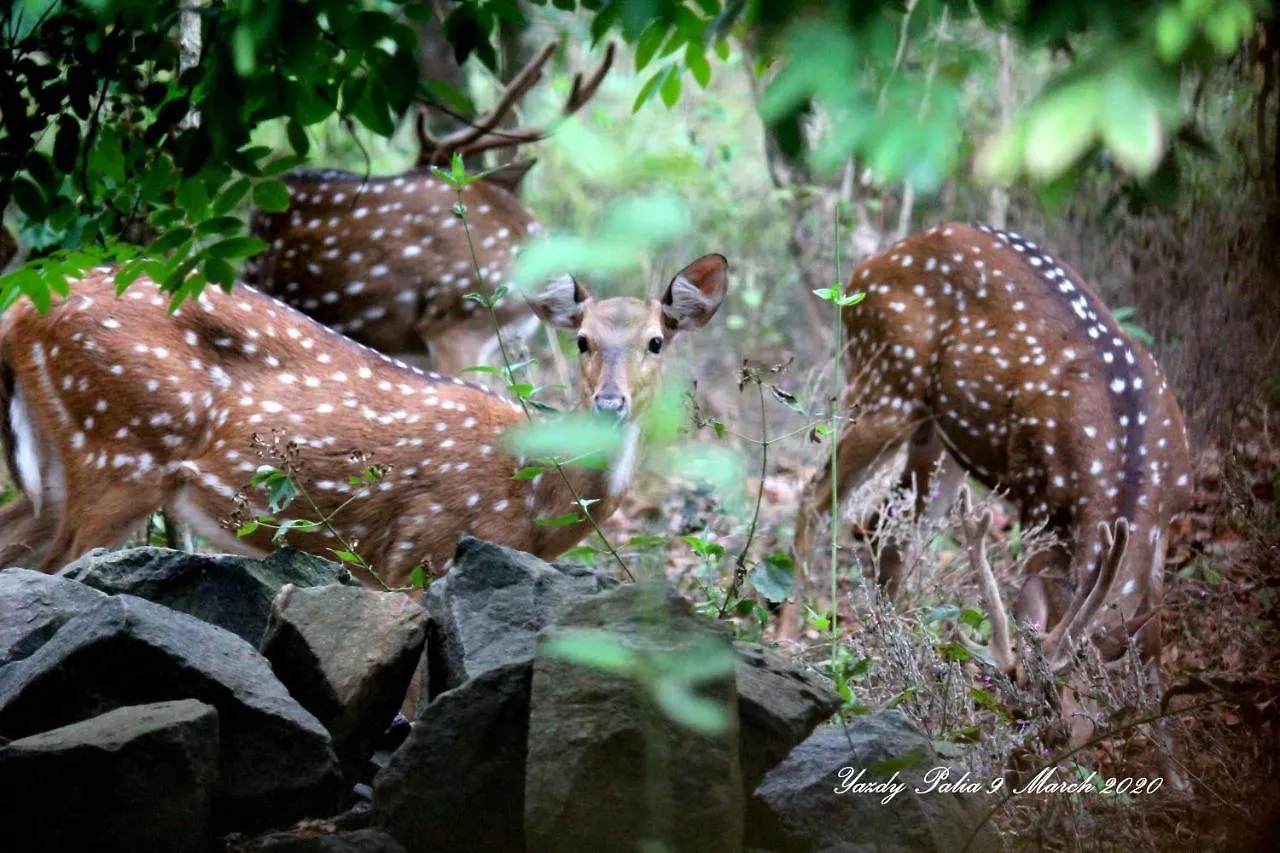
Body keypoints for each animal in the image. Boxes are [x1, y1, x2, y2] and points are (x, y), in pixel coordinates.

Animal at [0, 252, 727, 581]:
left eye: (656, 342)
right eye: (580, 340)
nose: (610, 402)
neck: (528, 496)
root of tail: (22, 309)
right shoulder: (420, 549)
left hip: (59, 464)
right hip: (119, 447)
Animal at [783, 220, 1192, 758]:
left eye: (1066, 711)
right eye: (1016, 704)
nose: (1027, 762)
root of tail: (867, 265)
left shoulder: (1167, 521)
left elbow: (1153, 647)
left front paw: (1173, 761)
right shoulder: (1041, 501)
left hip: (936, 437)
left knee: (885, 527)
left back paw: (893, 649)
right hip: (884, 383)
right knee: (816, 496)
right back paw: (790, 635)